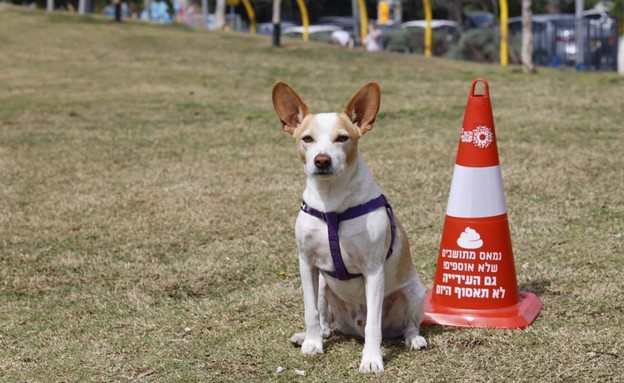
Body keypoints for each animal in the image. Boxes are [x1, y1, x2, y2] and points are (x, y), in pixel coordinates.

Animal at [270, 82, 426, 376]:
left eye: (342, 138)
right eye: (307, 139)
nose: (322, 160)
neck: (332, 203)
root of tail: (354, 328)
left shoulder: (374, 271)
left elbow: (374, 324)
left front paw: (372, 360)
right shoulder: (307, 263)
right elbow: (310, 312)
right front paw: (312, 344)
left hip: (413, 292)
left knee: (406, 325)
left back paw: (413, 339)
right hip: (324, 288)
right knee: (325, 322)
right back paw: (311, 336)